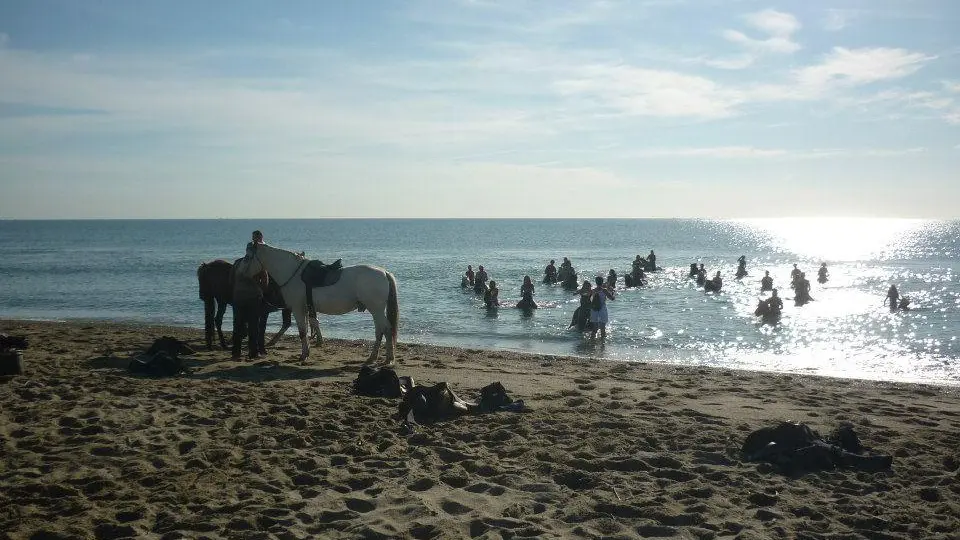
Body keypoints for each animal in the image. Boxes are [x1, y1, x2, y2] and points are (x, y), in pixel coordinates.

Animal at [243, 243, 399, 363]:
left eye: (247, 257)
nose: (243, 274)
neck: (293, 273)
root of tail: (384, 272)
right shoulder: (305, 309)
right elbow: (307, 330)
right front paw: (308, 352)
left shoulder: (297, 308)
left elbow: (302, 331)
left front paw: (303, 356)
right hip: (376, 311)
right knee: (381, 331)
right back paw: (377, 357)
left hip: (376, 310)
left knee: (385, 329)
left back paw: (386, 358)